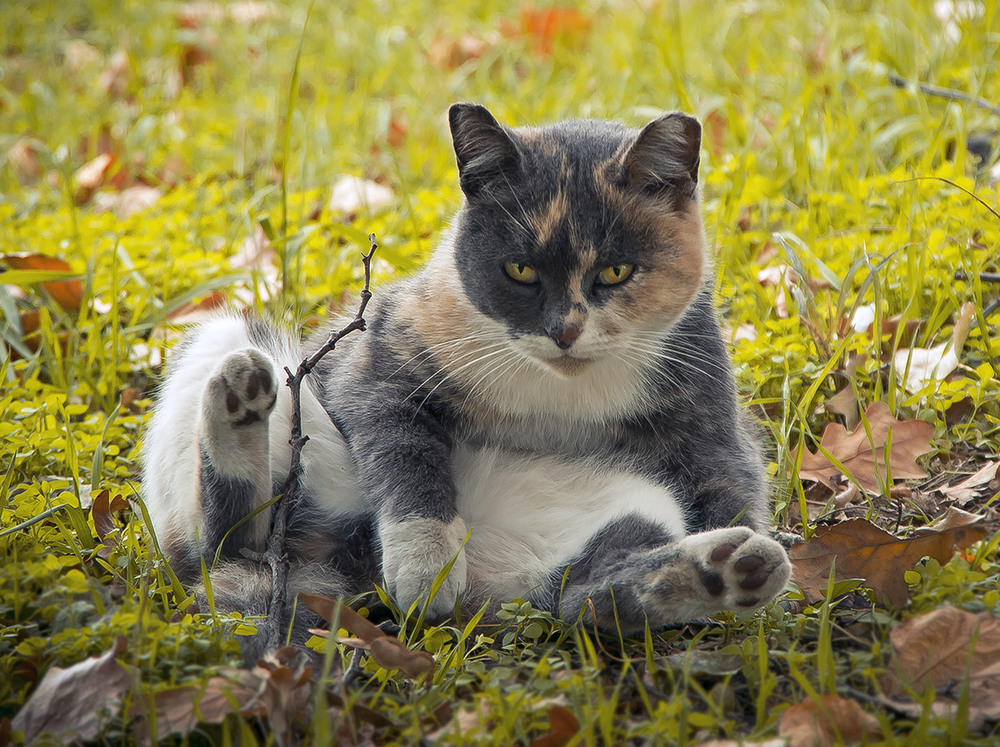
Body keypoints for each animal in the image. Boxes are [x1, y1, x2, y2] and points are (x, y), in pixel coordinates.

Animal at [143, 102, 796, 656]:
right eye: (520, 270)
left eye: (616, 271)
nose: (565, 331)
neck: (559, 395)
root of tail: (340, 573)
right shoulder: (374, 367)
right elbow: (406, 457)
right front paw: (427, 569)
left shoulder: (710, 420)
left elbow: (731, 485)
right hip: (234, 354)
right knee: (221, 537)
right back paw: (240, 398)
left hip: (627, 512)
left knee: (588, 598)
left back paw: (725, 571)